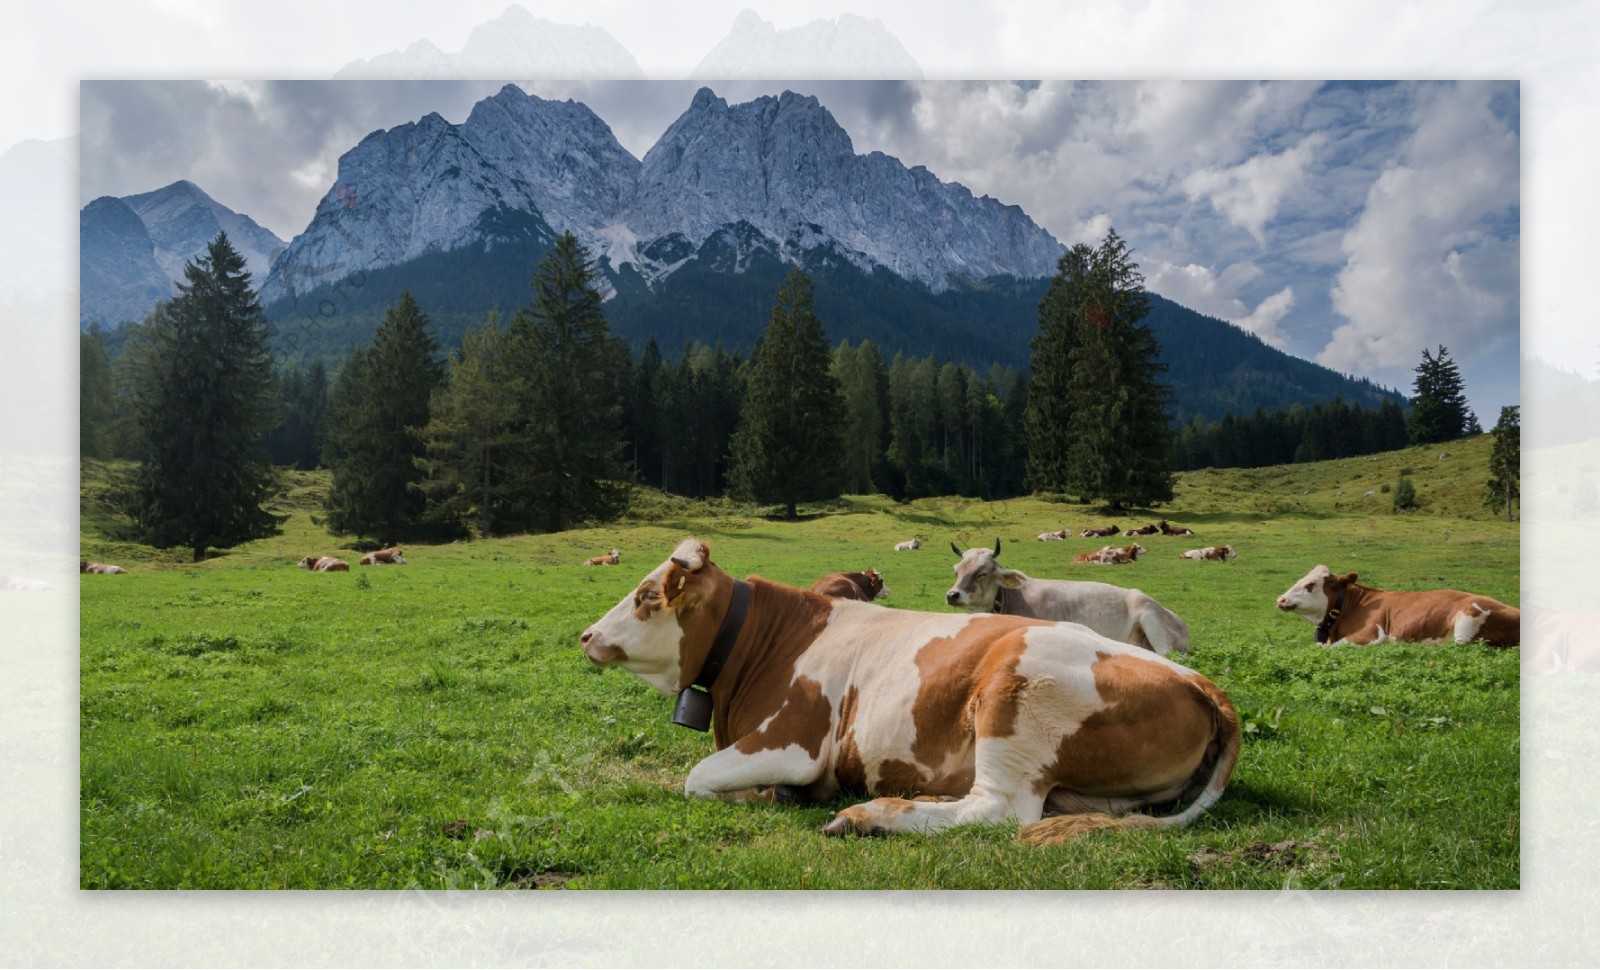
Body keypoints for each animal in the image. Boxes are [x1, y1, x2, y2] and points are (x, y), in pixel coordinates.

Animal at [940, 544, 1196, 656]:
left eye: (982, 573)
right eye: (956, 571)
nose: (953, 595)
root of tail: (1180, 621)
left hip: (1150, 618)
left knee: (1166, 654)